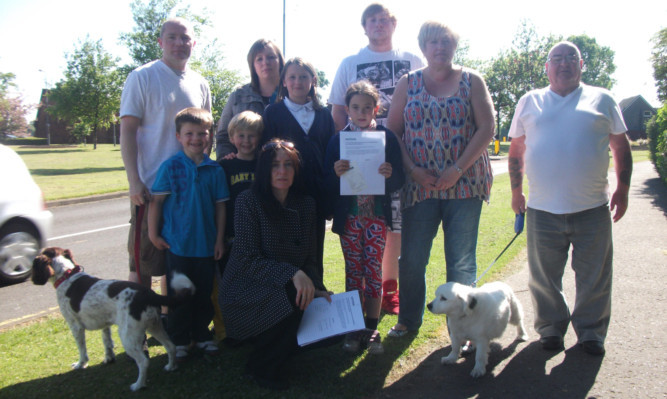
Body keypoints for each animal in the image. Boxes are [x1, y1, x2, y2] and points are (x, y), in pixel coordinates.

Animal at [32, 248, 193, 392]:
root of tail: (149, 293)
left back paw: (138, 385)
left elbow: (82, 350)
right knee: (171, 346)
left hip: (128, 336)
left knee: (144, 361)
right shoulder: (105, 324)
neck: (67, 276)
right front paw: (108, 359)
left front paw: (80, 364)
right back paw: (171, 367)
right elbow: (107, 343)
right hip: (155, 326)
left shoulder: (75, 326)